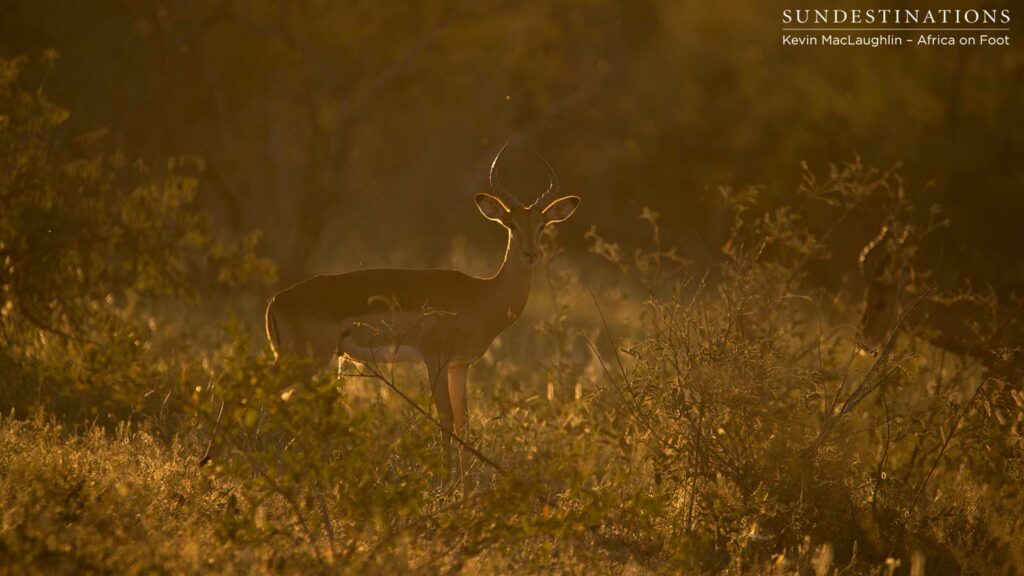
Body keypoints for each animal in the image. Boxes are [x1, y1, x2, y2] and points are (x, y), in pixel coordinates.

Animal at [264, 144, 580, 478]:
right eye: (511, 224)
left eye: (543, 225)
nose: (531, 254)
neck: (482, 296)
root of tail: (277, 300)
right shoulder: (435, 358)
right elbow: (445, 417)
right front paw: (446, 482)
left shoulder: (460, 364)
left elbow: (464, 420)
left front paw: (465, 484)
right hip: (303, 360)